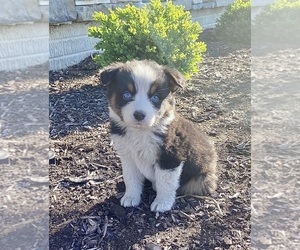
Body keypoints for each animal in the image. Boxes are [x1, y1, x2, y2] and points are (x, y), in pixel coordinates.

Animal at [101, 59, 218, 212]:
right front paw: (131, 197)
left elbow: (165, 183)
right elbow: (130, 178)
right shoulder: (127, 156)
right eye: (126, 94)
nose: (139, 115)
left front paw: (162, 204)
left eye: (155, 97)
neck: (140, 132)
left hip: (200, 178)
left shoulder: (170, 157)